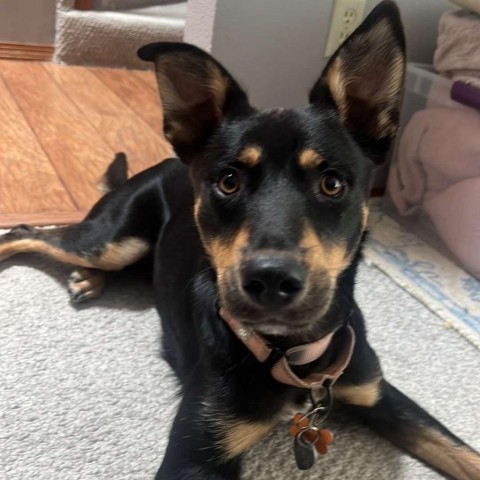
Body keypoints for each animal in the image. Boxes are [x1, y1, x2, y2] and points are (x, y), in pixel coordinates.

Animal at [0, 1, 480, 478]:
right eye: (228, 181)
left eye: (331, 183)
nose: (270, 281)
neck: (291, 355)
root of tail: (157, 165)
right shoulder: (197, 454)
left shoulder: (378, 392)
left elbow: (461, 452)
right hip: (113, 239)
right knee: (29, 233)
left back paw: (88, 279)